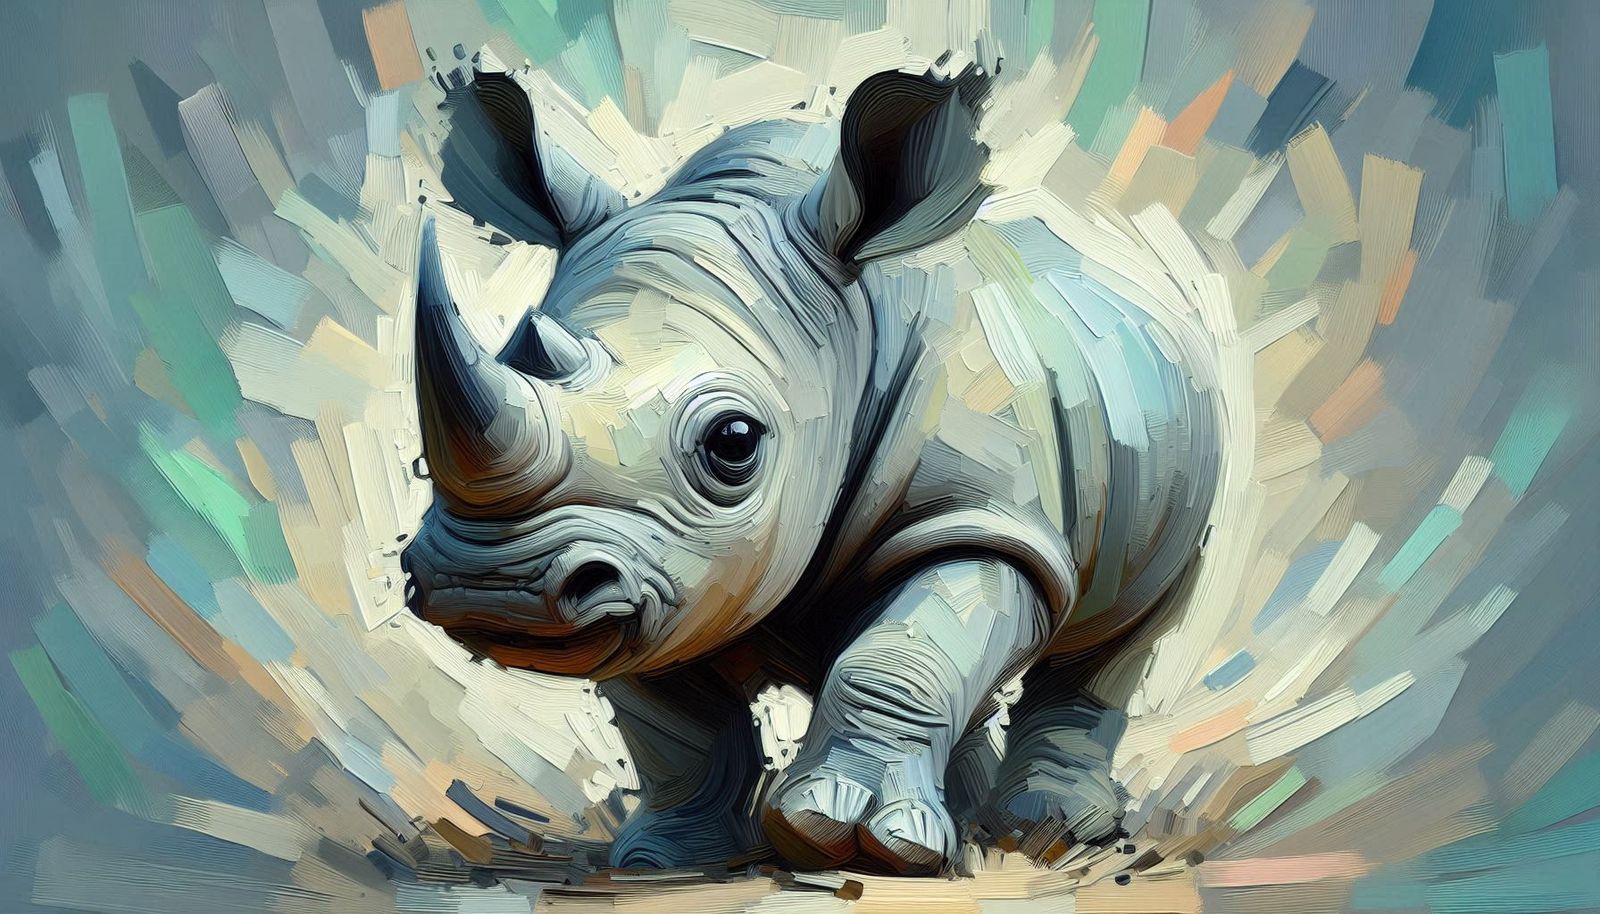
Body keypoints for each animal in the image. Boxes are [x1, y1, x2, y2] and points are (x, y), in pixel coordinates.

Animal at [402, 60, 1221, 875]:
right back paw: (965, 828)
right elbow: (675, 725)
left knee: (1117, 635)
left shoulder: (981, 518)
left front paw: (848, 839)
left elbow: (901, 655)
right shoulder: (657, 564)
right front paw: (667, 860)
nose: (491, 585)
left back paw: (1045, 834)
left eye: (734, 442)